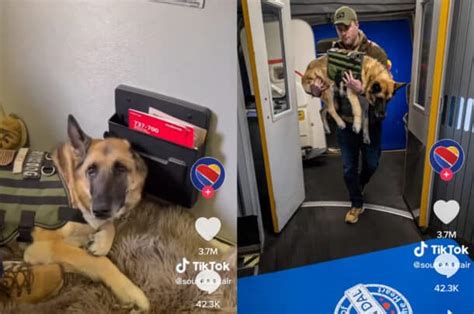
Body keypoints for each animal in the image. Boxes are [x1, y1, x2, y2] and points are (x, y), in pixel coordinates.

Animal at [0, 116, 148, 312]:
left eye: (121, 169)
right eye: (91, 170)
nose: (99, 209)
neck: (73, 188)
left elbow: (107, 227)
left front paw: (100, 242)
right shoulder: (42, 248)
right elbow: (97, 261)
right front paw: (129, 290)